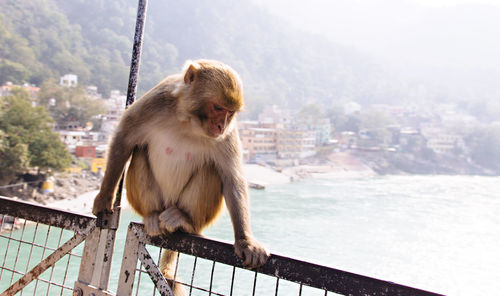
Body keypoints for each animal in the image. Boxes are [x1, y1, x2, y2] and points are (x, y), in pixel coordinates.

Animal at [91, 59, 268, 294]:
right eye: (218, 108)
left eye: (230, 112)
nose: (221, 125)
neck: (188, 120)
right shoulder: (155, 101)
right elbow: (124, 139)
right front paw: (104, 198)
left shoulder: (227, 135)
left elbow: (232, 178)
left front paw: (245, 241)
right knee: (140, 152)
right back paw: (152, 216)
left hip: (199, 215)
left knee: (210, 170)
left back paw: (184, 221)